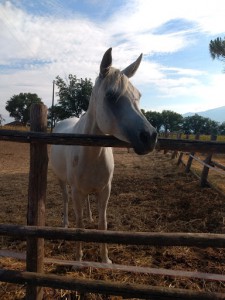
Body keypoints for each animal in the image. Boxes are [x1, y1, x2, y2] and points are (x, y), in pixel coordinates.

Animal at [50, 48, 157, 264]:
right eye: (110, 95)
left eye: (138, 95)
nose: (149, 136)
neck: (91, 152)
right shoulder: (76, 190)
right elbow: (79, 224)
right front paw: (78, 258)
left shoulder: (105, 189)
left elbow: (102, 223)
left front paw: (105, 259)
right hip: (62, 181)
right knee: (65, 200)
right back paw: (64, 223)